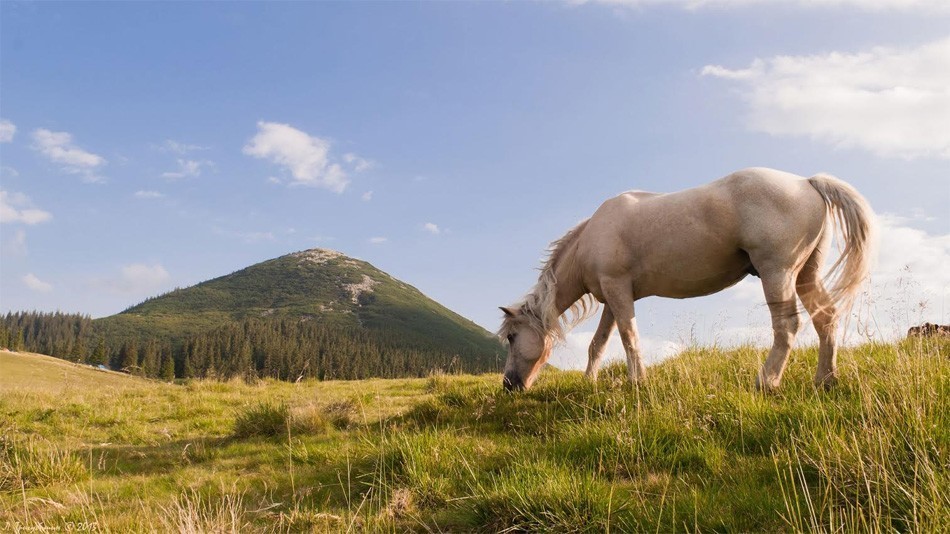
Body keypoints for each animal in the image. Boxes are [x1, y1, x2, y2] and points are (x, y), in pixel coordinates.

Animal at [498, 168, 876, 394]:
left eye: (513, 337)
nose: (508, 385)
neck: (591, 236)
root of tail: (806, 182)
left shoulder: (619, 291)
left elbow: (629, 338)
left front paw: (638, 381)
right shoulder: (612, 297)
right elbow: (599, 344)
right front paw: (589, 381)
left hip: (777, 273)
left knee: (788, 326)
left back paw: (766, 382)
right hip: (805, 276)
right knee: (826, 319)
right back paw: (825, 380)